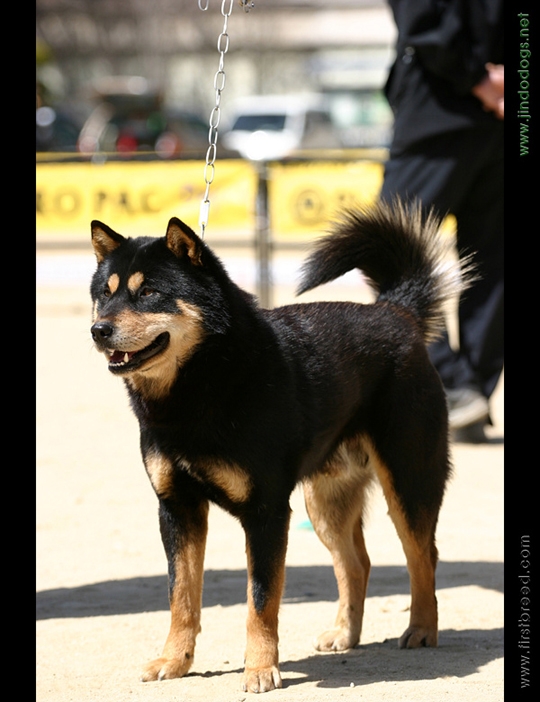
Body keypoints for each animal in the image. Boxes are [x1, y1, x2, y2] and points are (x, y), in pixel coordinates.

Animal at [90, 201, 466, 696]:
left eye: (149, 292)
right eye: (105, 294)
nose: (98, 329)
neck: (202, 384)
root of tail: (394, 311)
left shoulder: (266, 512)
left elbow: (261, 600)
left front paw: (260, 669)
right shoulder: (177, 507)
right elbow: (181, 595)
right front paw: (175, 660)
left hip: (408, 481)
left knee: (422, 557)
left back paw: (422, 628)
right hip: (325, 501)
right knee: (356, 564)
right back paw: (345, 633)